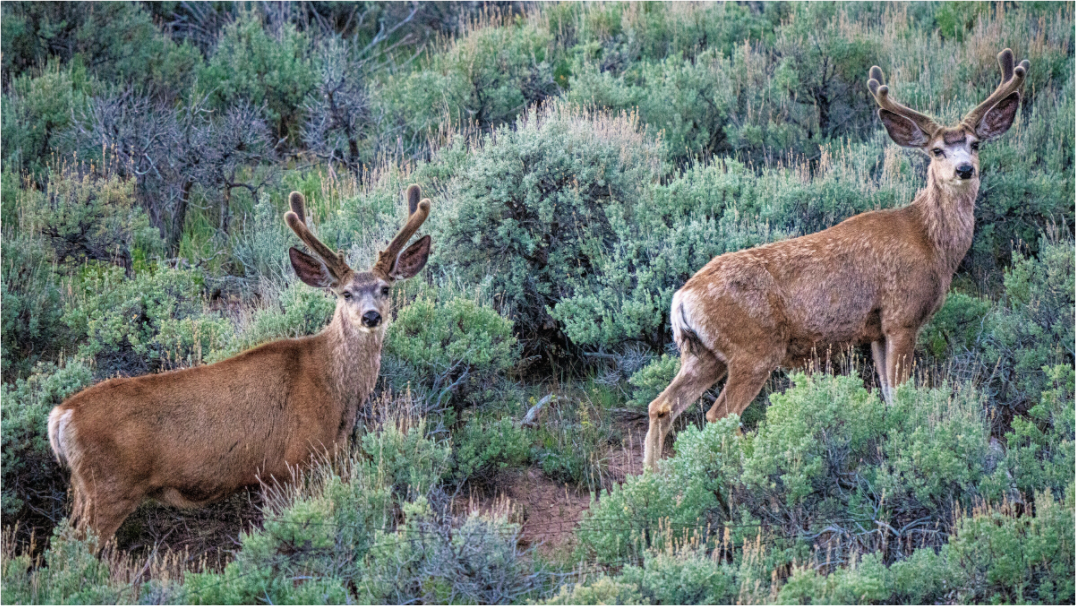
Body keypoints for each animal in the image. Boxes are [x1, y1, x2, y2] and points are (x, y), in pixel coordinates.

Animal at [47, 185, 433, 544]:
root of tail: (61, 416)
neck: (333, 389)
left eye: (385, 288)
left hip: (84, 489)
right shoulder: (288, 464)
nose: (371, 317)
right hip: (111, 487)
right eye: (346, 293)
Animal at [643, 49, 1028, 471]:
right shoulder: (902, 316)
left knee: (661, 406)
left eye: (975, 144)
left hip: (703, 353)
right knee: (718, 415)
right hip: (753, 349)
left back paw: (651, 481)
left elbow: (889, 395)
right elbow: (902, 393)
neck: (930, 243)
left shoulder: (876, 331)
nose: (964, 169)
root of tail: (682, 298)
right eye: (936, 150)